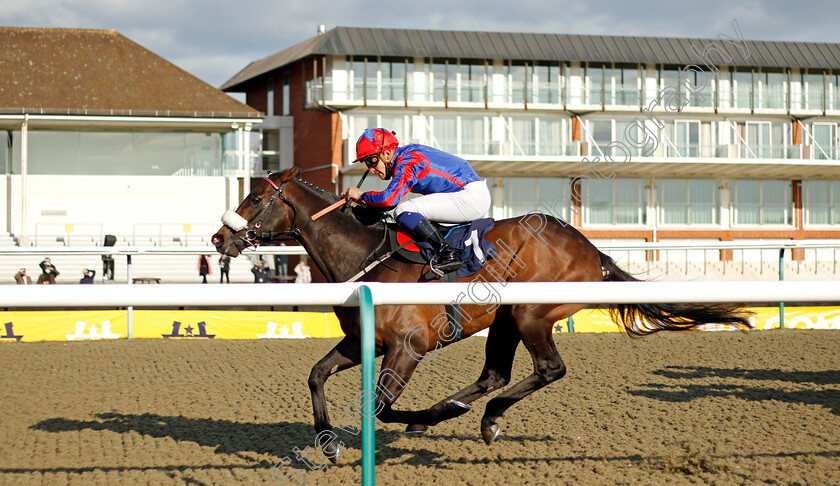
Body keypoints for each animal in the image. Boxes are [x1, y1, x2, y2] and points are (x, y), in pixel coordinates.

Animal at [213, 168, 752, 456]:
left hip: (532, 313)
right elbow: (316, 374)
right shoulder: (363, 340)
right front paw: (327, 441)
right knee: (495, 374)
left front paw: (408, 419)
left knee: (548, 369)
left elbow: (381, 406)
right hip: (506, 319)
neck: (366, 256)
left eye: (255, 197)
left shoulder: (408, 348)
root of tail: (590, 249)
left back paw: (475, 415)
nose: (219, 238)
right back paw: (459, 409)